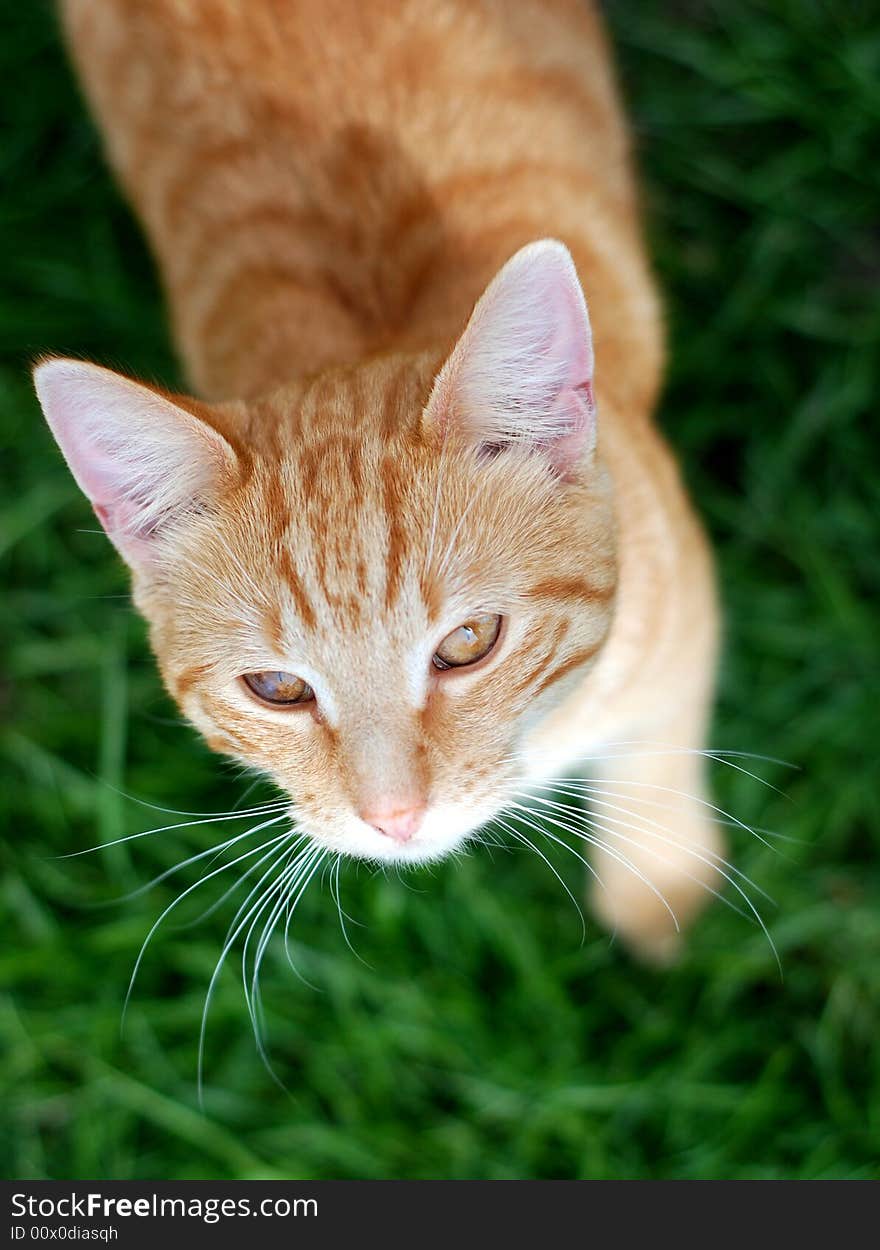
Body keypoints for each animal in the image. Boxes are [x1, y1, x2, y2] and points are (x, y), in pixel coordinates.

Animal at [34, 0, 720, 955]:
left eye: (469, 642)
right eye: (277, 689)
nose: (395, 818)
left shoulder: (683, 630)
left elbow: (658, 763)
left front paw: (659, 882)